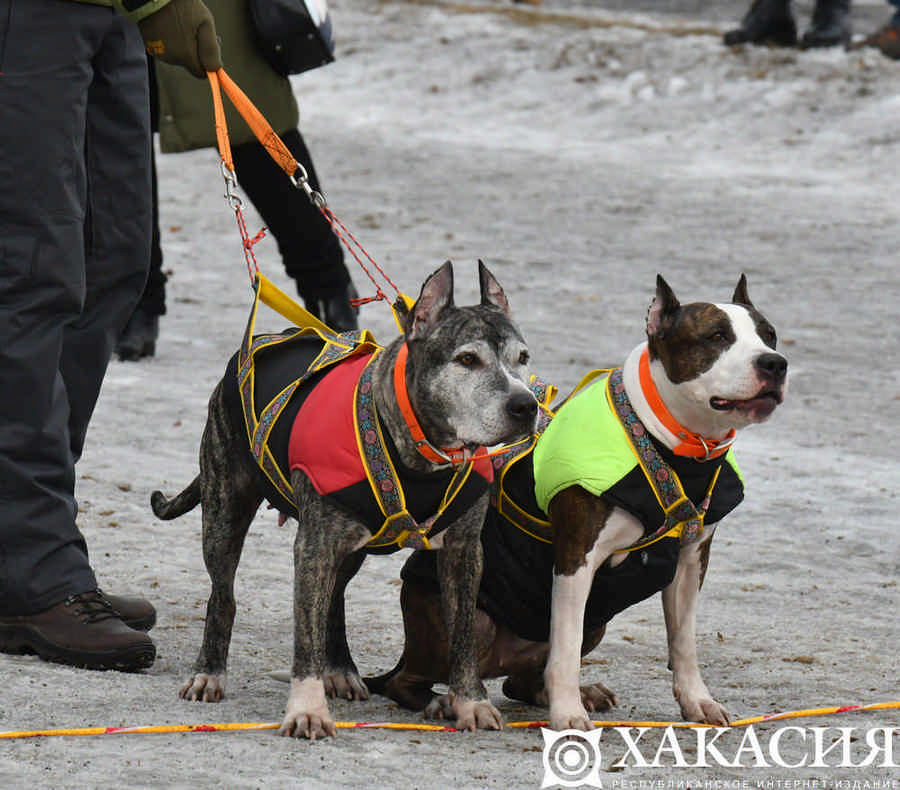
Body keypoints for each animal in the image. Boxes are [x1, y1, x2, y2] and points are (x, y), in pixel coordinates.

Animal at [370, 274, 784, 732]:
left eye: (770, 336)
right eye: (716, 336)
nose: (774, 364)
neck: (668, 442)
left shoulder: (691, 560)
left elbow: (684, 642)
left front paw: (697, 700)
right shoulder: (576, 556)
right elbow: (565, 650)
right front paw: (568, 712)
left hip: (596, 622)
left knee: (521, 681)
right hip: (471, 620)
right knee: (407, 681)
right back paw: (443, 702)